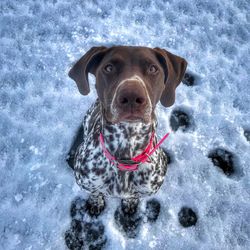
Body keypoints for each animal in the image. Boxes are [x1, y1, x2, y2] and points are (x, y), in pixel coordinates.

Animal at [67, 46, 187, 217]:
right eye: (109, 68)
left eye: (153, 68)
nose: (131, 96)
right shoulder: (86, 183)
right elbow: (95, 193)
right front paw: (96, 202)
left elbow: (132, 196)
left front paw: (129, 203)